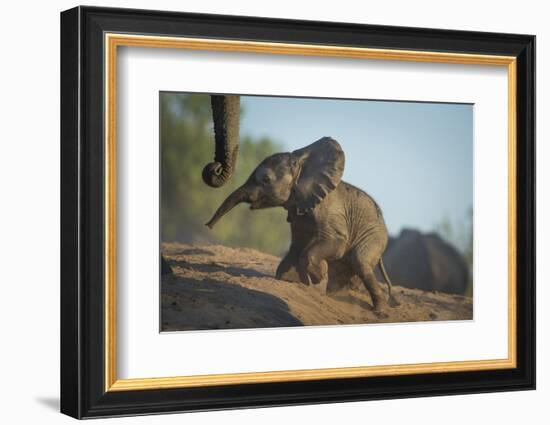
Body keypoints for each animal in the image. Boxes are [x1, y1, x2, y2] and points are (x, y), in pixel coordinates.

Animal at [206, 137, 396, 310]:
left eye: (266, 180)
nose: (208, 226)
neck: (302, 164)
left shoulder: (328, 212)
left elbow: (333, 244)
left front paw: (318, 276)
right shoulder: (298, 213)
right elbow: (298, 244)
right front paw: (292, 280)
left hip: (374, 236)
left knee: (360, 262)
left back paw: (380, 311)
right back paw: (337, 296)